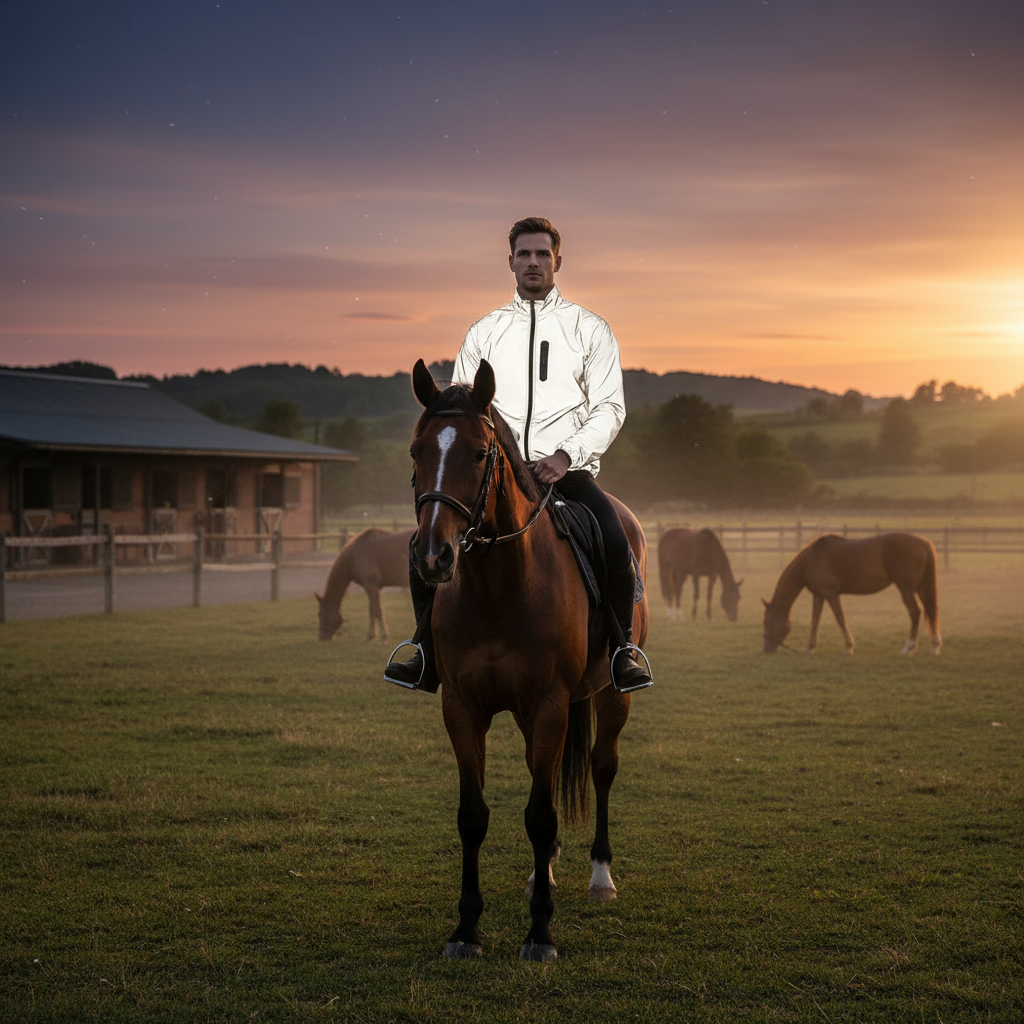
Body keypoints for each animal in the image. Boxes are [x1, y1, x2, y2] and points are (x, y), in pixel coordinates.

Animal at [405, 357, 648, 961]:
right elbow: (473, 816)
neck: (498, 587)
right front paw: (466, 931)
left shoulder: (552, 705)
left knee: (602, 767)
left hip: (609, 698)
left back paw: (599, 877)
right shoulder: (463, 707)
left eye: (478, 453)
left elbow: (540, 813)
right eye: (417, 451)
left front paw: (540, 934)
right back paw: (546, 873)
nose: (433, 557)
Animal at [762, 532, 941, 655]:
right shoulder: (819, 595)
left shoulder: (831, 594)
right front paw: (809, 648)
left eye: (766, 622)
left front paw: (849, 648)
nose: (766, 649)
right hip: (920, 588)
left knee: (915, 612)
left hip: (906, 589)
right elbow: (815, 621)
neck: (811, 560)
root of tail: (923, 542)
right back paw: (935, 646)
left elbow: (840, 619)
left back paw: (908, 647)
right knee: (930, 611)